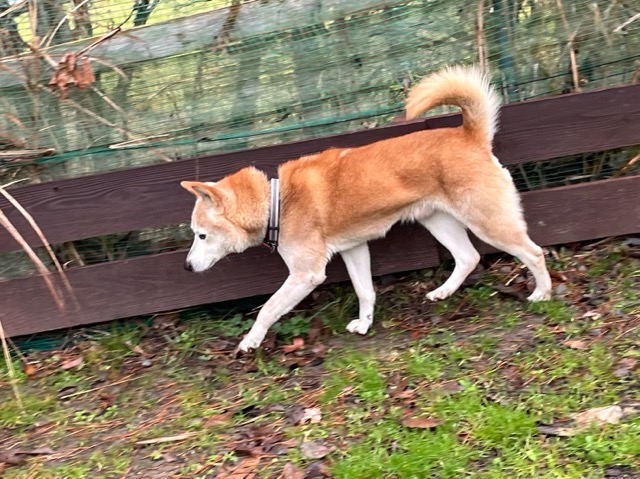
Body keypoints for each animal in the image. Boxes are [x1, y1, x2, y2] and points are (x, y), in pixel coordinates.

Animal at [181, 65, 552, 353]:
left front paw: (250, 341)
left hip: (487, 222)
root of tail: (469, 135)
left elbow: (268, 309)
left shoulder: (306, 274)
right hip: (437, 221)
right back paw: (443, 291)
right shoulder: (354, 249)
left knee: (534, 253)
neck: (278, 201)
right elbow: (365, 291)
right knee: (467, 257)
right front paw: (364, 324)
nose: (186, 267)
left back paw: (542, 293)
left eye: (201, 235)